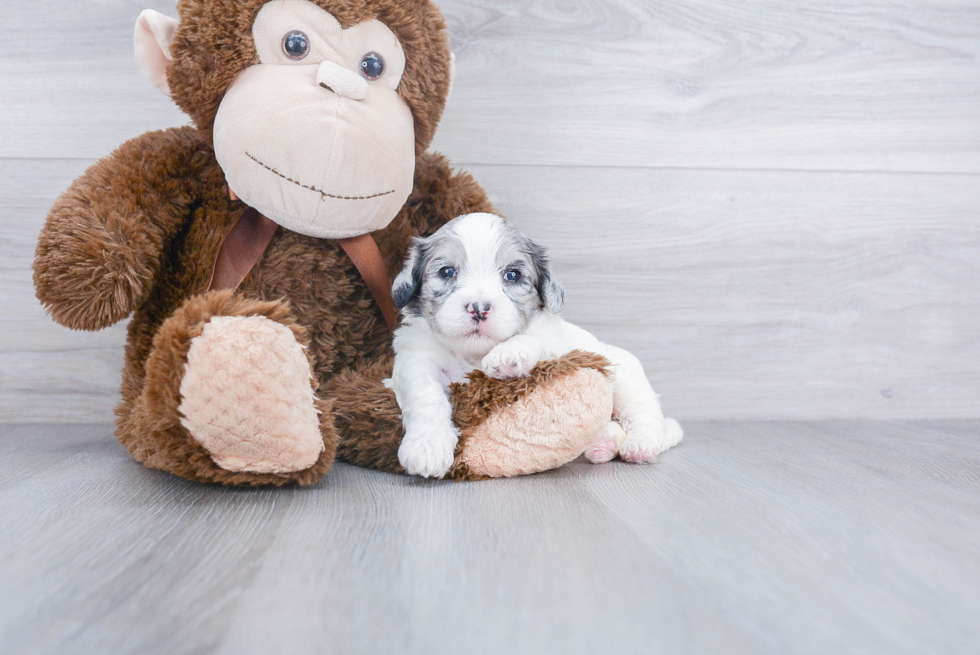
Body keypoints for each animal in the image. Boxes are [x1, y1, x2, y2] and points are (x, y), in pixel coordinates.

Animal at [384, 214, 680, 476]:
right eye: (446, 272)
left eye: (512, 275)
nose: (478, 307)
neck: (473, 355)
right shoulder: (416, 358)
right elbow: (426, 394)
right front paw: (427, 447)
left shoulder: (556, 344)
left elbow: (533, 338)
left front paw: (508, 353)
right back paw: (604, 444)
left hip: (628, 382)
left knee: (646, 417)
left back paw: (640, 445)